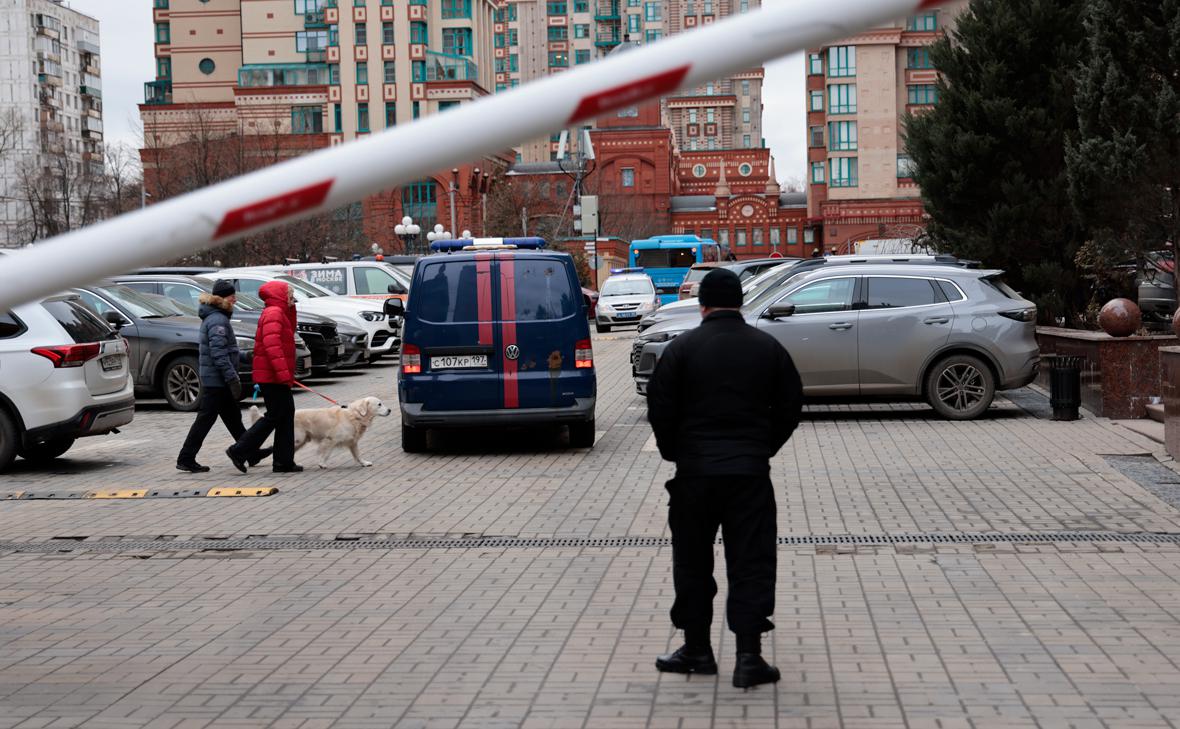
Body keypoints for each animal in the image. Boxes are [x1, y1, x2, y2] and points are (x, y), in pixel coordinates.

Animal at [248, 393, 391, 469]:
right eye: (379, 404)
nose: (389, 410)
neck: (354, 416)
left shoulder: (352, 442)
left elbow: (358, 454)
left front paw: (364, 463)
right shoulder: (330, 440)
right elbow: (326, 453)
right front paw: (322, 464)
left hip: (302, 440)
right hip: (298, 438)